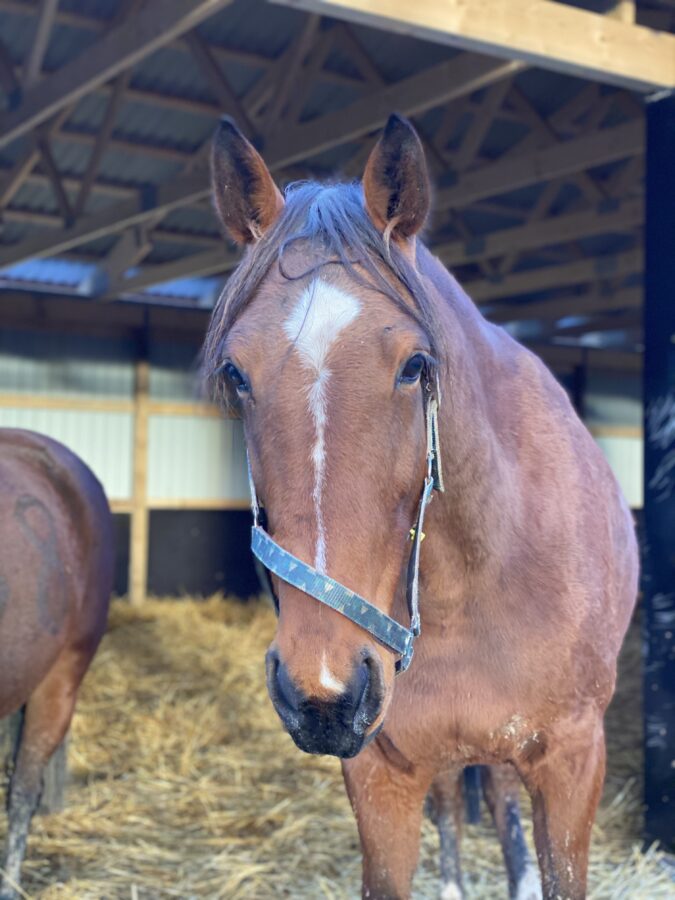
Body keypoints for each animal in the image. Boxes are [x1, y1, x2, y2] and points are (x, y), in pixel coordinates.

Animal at [203, 115, 638, 900]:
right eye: (235, 372)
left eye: (415, 366)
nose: (323, 692)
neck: (477, 576)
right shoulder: (382, 770)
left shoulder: (571, 763)